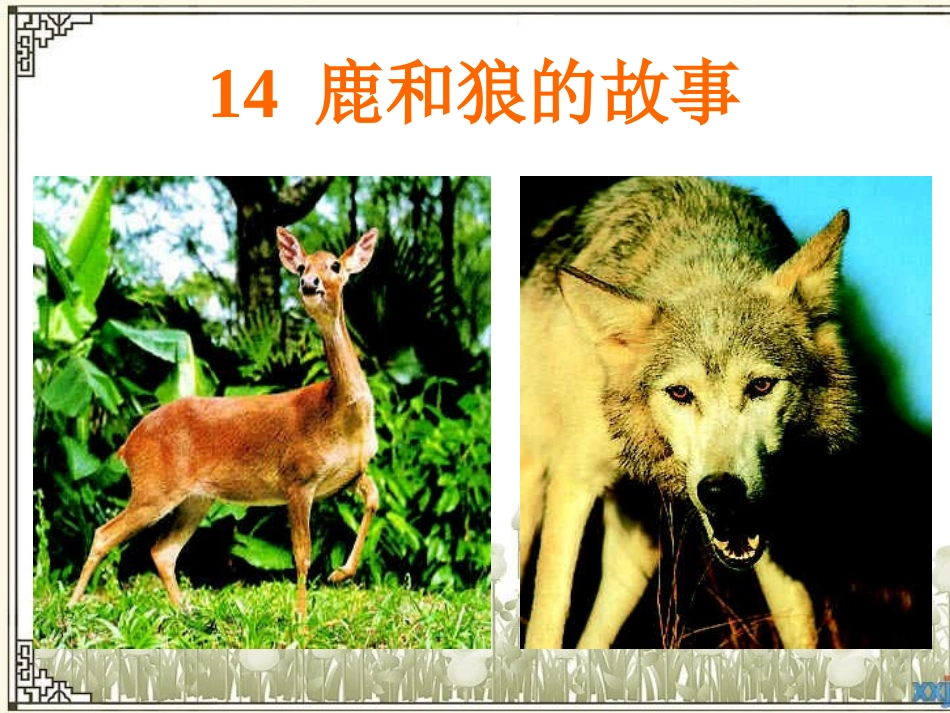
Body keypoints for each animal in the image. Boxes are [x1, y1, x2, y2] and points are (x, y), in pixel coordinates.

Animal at [68, 226, 381, 618]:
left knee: (162, 551)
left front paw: (341, 573)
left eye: (335, 265)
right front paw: (301, 619)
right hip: (154, 487)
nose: (309, 284)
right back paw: (71, 606)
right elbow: (302, 555)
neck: (340, 412)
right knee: (105, 534)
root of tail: (128, 444)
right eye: (302, 267)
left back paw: (185, 613)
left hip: (195, 499)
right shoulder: (297, 477)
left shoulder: (350, 473)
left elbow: (373, 499)